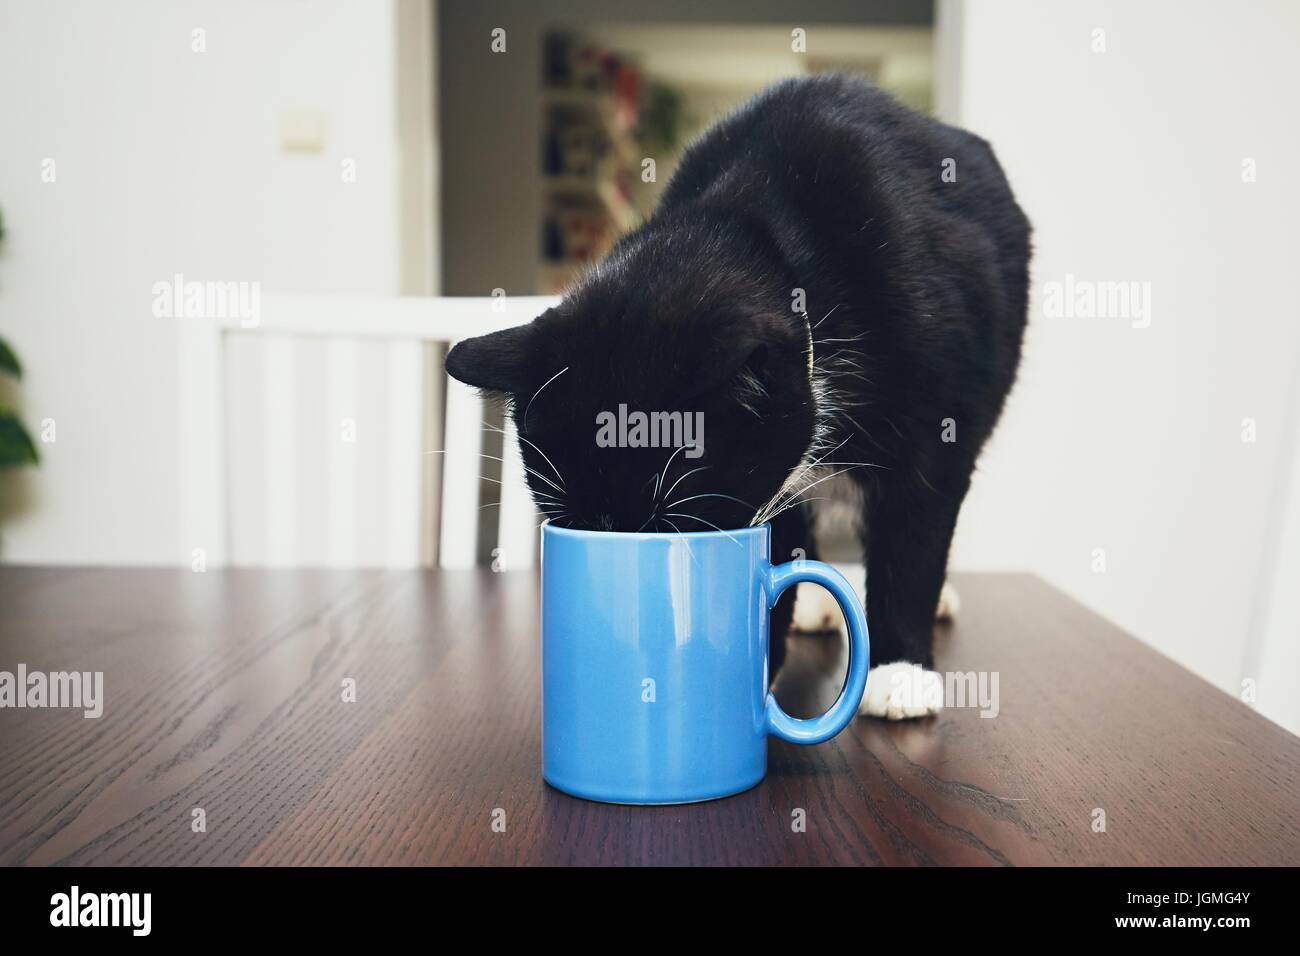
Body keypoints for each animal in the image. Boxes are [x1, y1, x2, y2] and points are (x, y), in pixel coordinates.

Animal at [441, 76, 1029, 717]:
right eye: (573, 521)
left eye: (674, 525)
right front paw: (757, 669)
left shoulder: (935, 417)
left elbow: (916, 530)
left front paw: (900, 672)